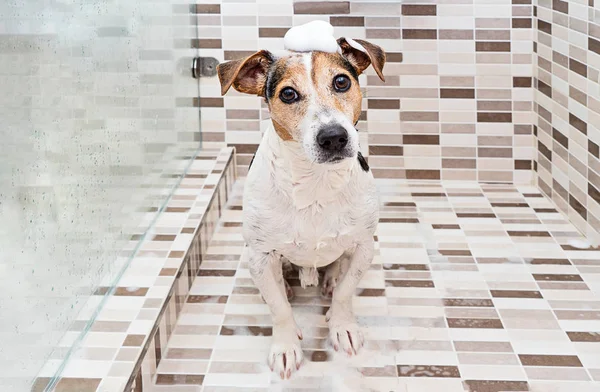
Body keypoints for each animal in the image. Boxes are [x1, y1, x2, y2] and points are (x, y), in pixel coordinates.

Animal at [216, 33, 384, 380]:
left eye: (342, 82)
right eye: (288, 94)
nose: (333, 137)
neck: (314, 182)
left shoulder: (364, 246)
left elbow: (346, 292)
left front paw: (342, 326)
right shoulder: (261, 255)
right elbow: (278, 308)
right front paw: (285, 346)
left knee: (336, 269)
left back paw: (329, 280)